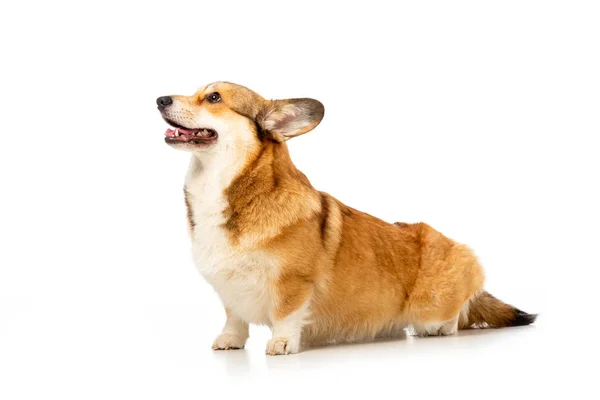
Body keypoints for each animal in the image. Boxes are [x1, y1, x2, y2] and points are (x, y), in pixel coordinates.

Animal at [157, 79, 536, 354]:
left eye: (214, 97)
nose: (160, 99)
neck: (230, 190)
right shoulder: (228, 287)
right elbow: (234, 316)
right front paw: (230, 340)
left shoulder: (294, 283)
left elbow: (286, 313)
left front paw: (282, 342)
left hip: (435, 302)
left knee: (454, 318)